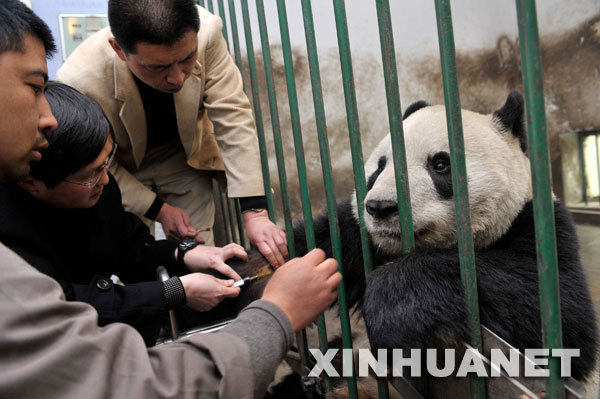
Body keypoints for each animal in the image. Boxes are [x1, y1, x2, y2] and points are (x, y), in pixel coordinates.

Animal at [234, 91, 596, 399]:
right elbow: (320, 242)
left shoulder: (535, 229)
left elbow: (556, 318)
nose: (381, 208)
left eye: (440, 164)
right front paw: (247, 274)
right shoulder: (359, 234)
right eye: (379, 166)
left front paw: (390, 319)